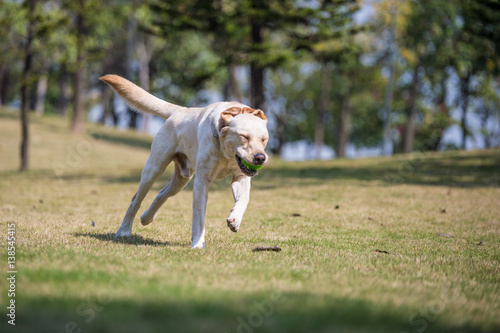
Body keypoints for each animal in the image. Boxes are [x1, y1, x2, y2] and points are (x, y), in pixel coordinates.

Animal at [99, 74, 268, 246]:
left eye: (264, 139)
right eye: (244, 136)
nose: (261, 157)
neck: (225, 152)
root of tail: (181, 110)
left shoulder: (241, 177)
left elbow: (244, 199)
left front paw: (234, 219)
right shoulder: (202, 181)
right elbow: (199, 217)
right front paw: (198, 244)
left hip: (181, 179)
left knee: (161, 194)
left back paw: (147, 218)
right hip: (153, 169)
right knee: (136, 200)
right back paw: (124, 230)